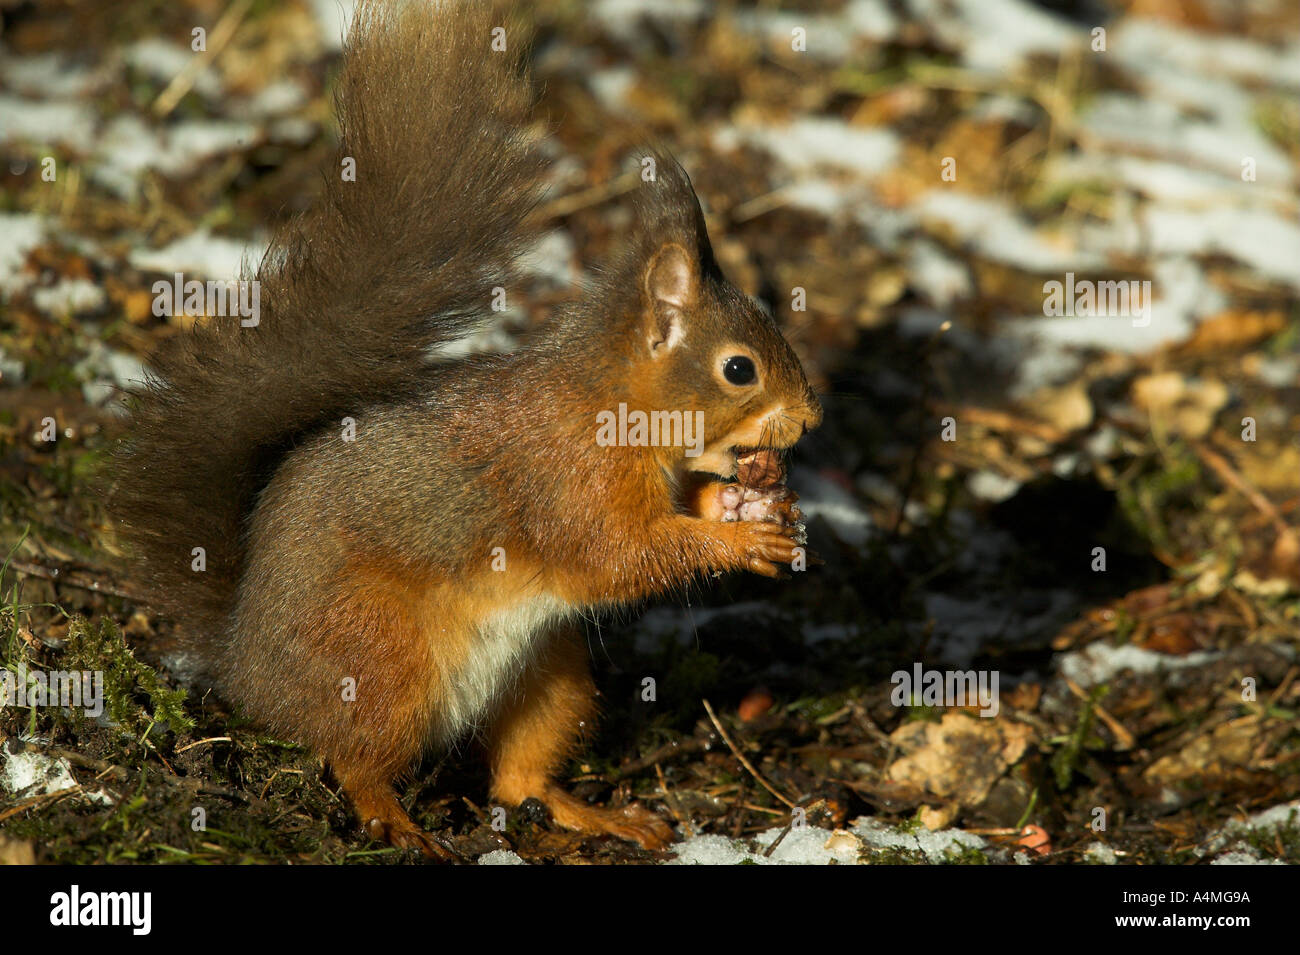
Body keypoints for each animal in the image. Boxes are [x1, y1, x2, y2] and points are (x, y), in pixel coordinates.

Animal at [111, 1, 821, 857]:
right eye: (739, 369)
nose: (812, 416)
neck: (611, 407)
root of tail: (245, 667)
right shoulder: (569, 480)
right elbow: (618, 556)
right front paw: (737, 538)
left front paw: (751, 509)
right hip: (379, 656)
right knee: (354, 757)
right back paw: (393, 817)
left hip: (549, 676)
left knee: (517, 775)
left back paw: (593, 811)